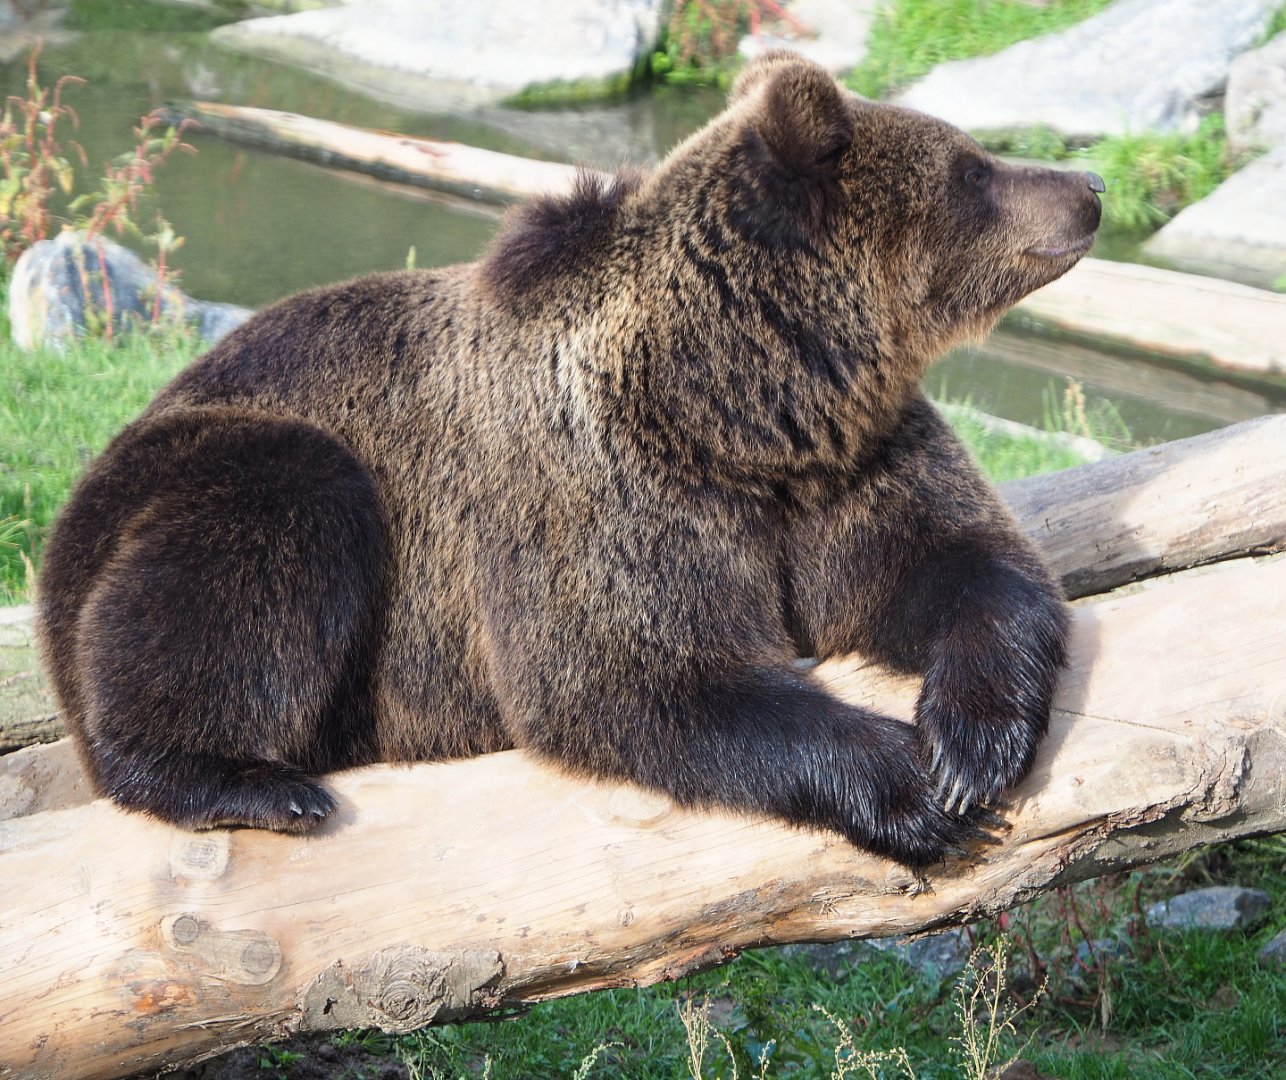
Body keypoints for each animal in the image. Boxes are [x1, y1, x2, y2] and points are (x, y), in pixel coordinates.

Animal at [37, 51, 1103, 869]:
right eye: (974, 167)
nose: (1088, 190)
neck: (737, 404)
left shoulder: (847, 465)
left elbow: (966, 562)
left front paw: (969, 748)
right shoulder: (603, 489)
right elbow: (638, 674)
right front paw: (905, 786)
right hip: (209, 466)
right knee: (252, 536)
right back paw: (244, 782)